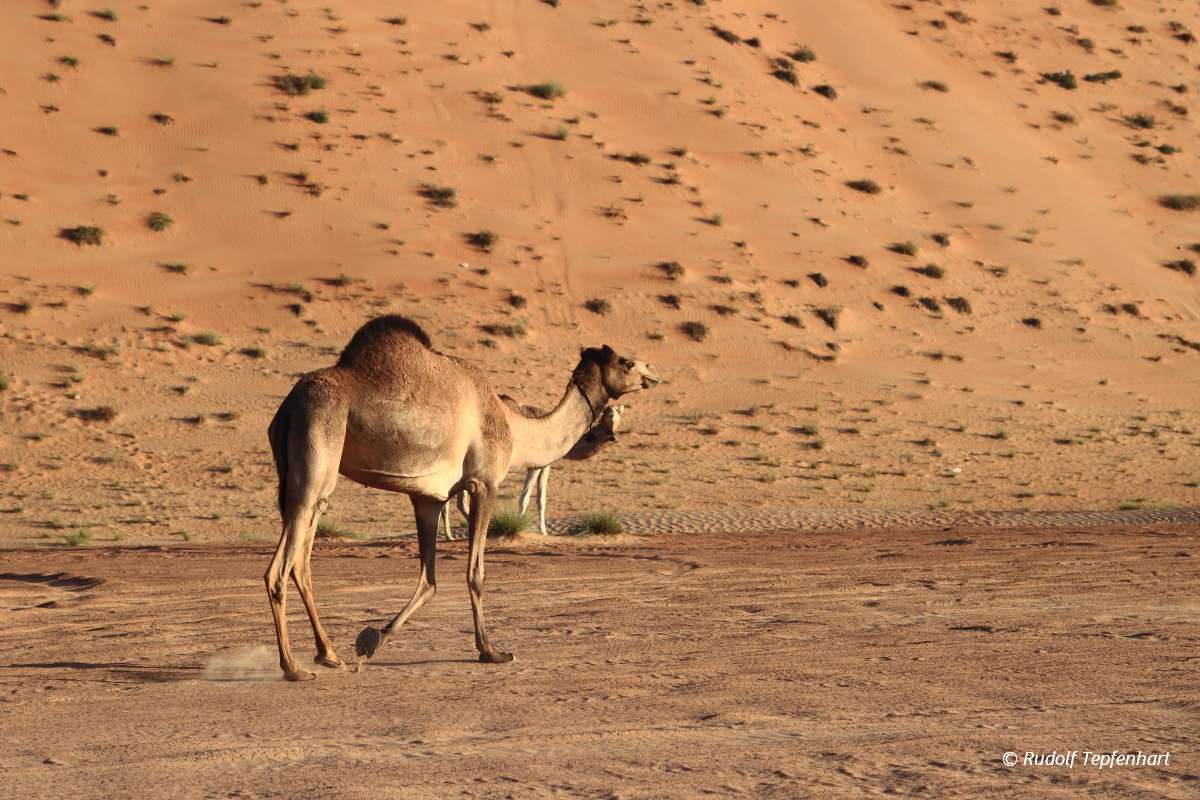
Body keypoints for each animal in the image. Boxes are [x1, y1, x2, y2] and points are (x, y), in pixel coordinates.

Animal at [439, 404, 627, 539]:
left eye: (619, 413)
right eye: (607, 413)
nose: (613, 434)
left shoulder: (544, 465)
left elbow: (539, 499)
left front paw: (538, 529)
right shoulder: (538, 465)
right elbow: (529, 497)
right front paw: (526, 527)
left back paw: (450, 535)